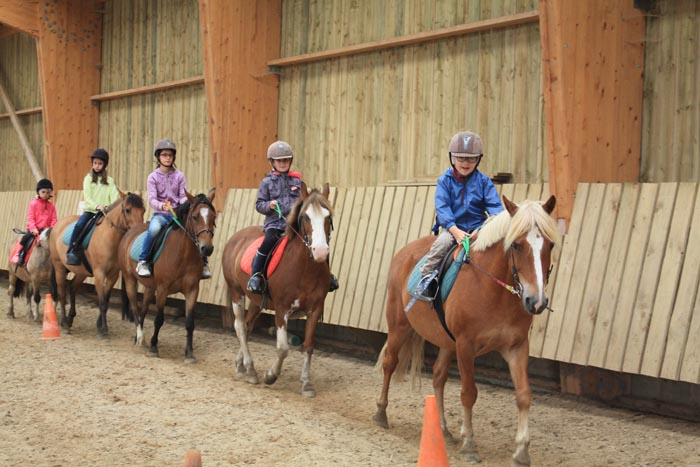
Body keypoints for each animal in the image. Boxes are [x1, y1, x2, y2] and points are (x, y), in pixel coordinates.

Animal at [49, 192, 145, 338]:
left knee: (72, 288)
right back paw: (65, 323)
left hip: (81, 272)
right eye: (128, 210)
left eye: (143, 210)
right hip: (59, 267)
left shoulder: (113, 276)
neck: (109, 238)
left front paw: (99, 324)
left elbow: (106, 300)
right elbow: (101, 301)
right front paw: (103, 329)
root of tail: (58, 225)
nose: (138, 231)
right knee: (61, 293)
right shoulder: (99, 274)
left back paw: (70, 318)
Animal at [119, 189, 216, 362]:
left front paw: (189, 353)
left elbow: (190, 322)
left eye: (213, 217)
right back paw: (140, 337)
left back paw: (138, 337)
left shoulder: (192, 290)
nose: (207, 249)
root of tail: (130, 232)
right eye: (195, 217)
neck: (183, 254)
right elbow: (159, 319)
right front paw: (153, 348)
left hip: (150, 287)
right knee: (135, 308)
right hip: (130, 280)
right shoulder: (163, 289)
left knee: (143, 310)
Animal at [223, 183, 334, 398]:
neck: (305, 268)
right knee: (240, 327)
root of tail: (236, 237)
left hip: (256, 301)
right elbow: (283, 349)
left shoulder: (315, 309)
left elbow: (308, 346)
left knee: (248, 326)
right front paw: (271, 376)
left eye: (328, 217)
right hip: (236, 292)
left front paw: (306, 384)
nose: (320, 251)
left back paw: (242, 366)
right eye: (306, 217)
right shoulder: (282, 310)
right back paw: (251, 370)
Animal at [374, 196, 560, 466]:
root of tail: (404, 252)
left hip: (445, 341)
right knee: (390, 363)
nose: (536, 302)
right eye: (516, 245)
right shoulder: (465, 345)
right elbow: (469, 393)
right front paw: (470, 442)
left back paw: (442, 429)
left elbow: (524, 394)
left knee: (438, 376)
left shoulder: (516, 347)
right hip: (399, 325)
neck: (493, 288)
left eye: (550, 244)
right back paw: (381, 413)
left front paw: (521, 451)